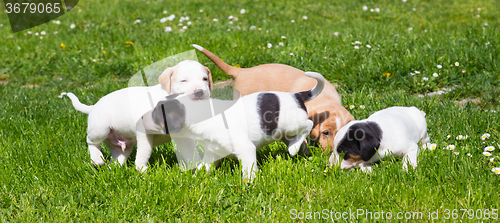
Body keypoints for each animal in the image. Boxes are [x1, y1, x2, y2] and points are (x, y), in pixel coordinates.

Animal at [63, 60, 212, 172]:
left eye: (205, 79)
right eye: (183, 81)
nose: (199, 92)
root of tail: (93, 106)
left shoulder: (182, 135)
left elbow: (190, 150)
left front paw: (197, 166)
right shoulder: (143, 129)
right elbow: (145, 151)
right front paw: (142, 169)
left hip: (122, 145)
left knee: (117, 157)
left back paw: (113, 170)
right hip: (100, 128)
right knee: (91, 141)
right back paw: (97, 159)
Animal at [149, 71, 324, 181]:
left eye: (156, 113)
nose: (144, 117)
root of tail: (297, 95)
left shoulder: (245, 149)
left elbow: (249, 172)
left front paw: (249, 184)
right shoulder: (212, 153)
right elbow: (202, 168)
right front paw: (194, 181)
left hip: (292, 124)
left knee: (308, 125)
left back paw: (293, 148)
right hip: (284, 131)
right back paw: (298, 147)